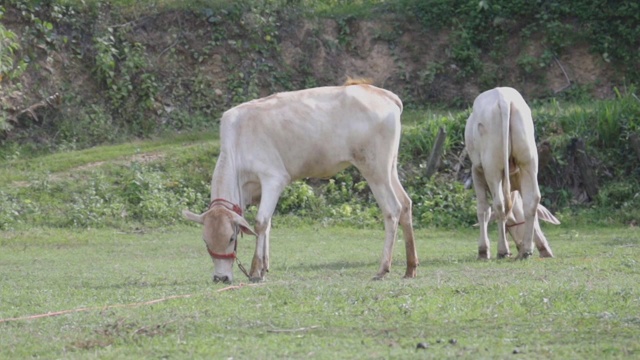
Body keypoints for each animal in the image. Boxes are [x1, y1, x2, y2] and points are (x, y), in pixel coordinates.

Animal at [182, 82, 418, 284]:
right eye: (205, 241)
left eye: (231, 238)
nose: (220, 278)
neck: (236, 147)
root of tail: (384, 94)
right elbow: (268, 224)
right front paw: (264, 267)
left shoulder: (273, 178)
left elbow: (260, 223)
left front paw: (256, 271)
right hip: (389, 168)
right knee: (406, 204)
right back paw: (410, 268)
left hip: (374, 169)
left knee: (392, 209)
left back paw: (383, 269)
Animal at [464, 88, 560, 260]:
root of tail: (504, 99)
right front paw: (543, 248)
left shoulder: (476, 171)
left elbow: (483, 209)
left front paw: (483, 250)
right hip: (529, 161)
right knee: (532, 200)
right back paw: (526, 250)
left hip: (491, 167)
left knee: (500, 204)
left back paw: (502, 250)